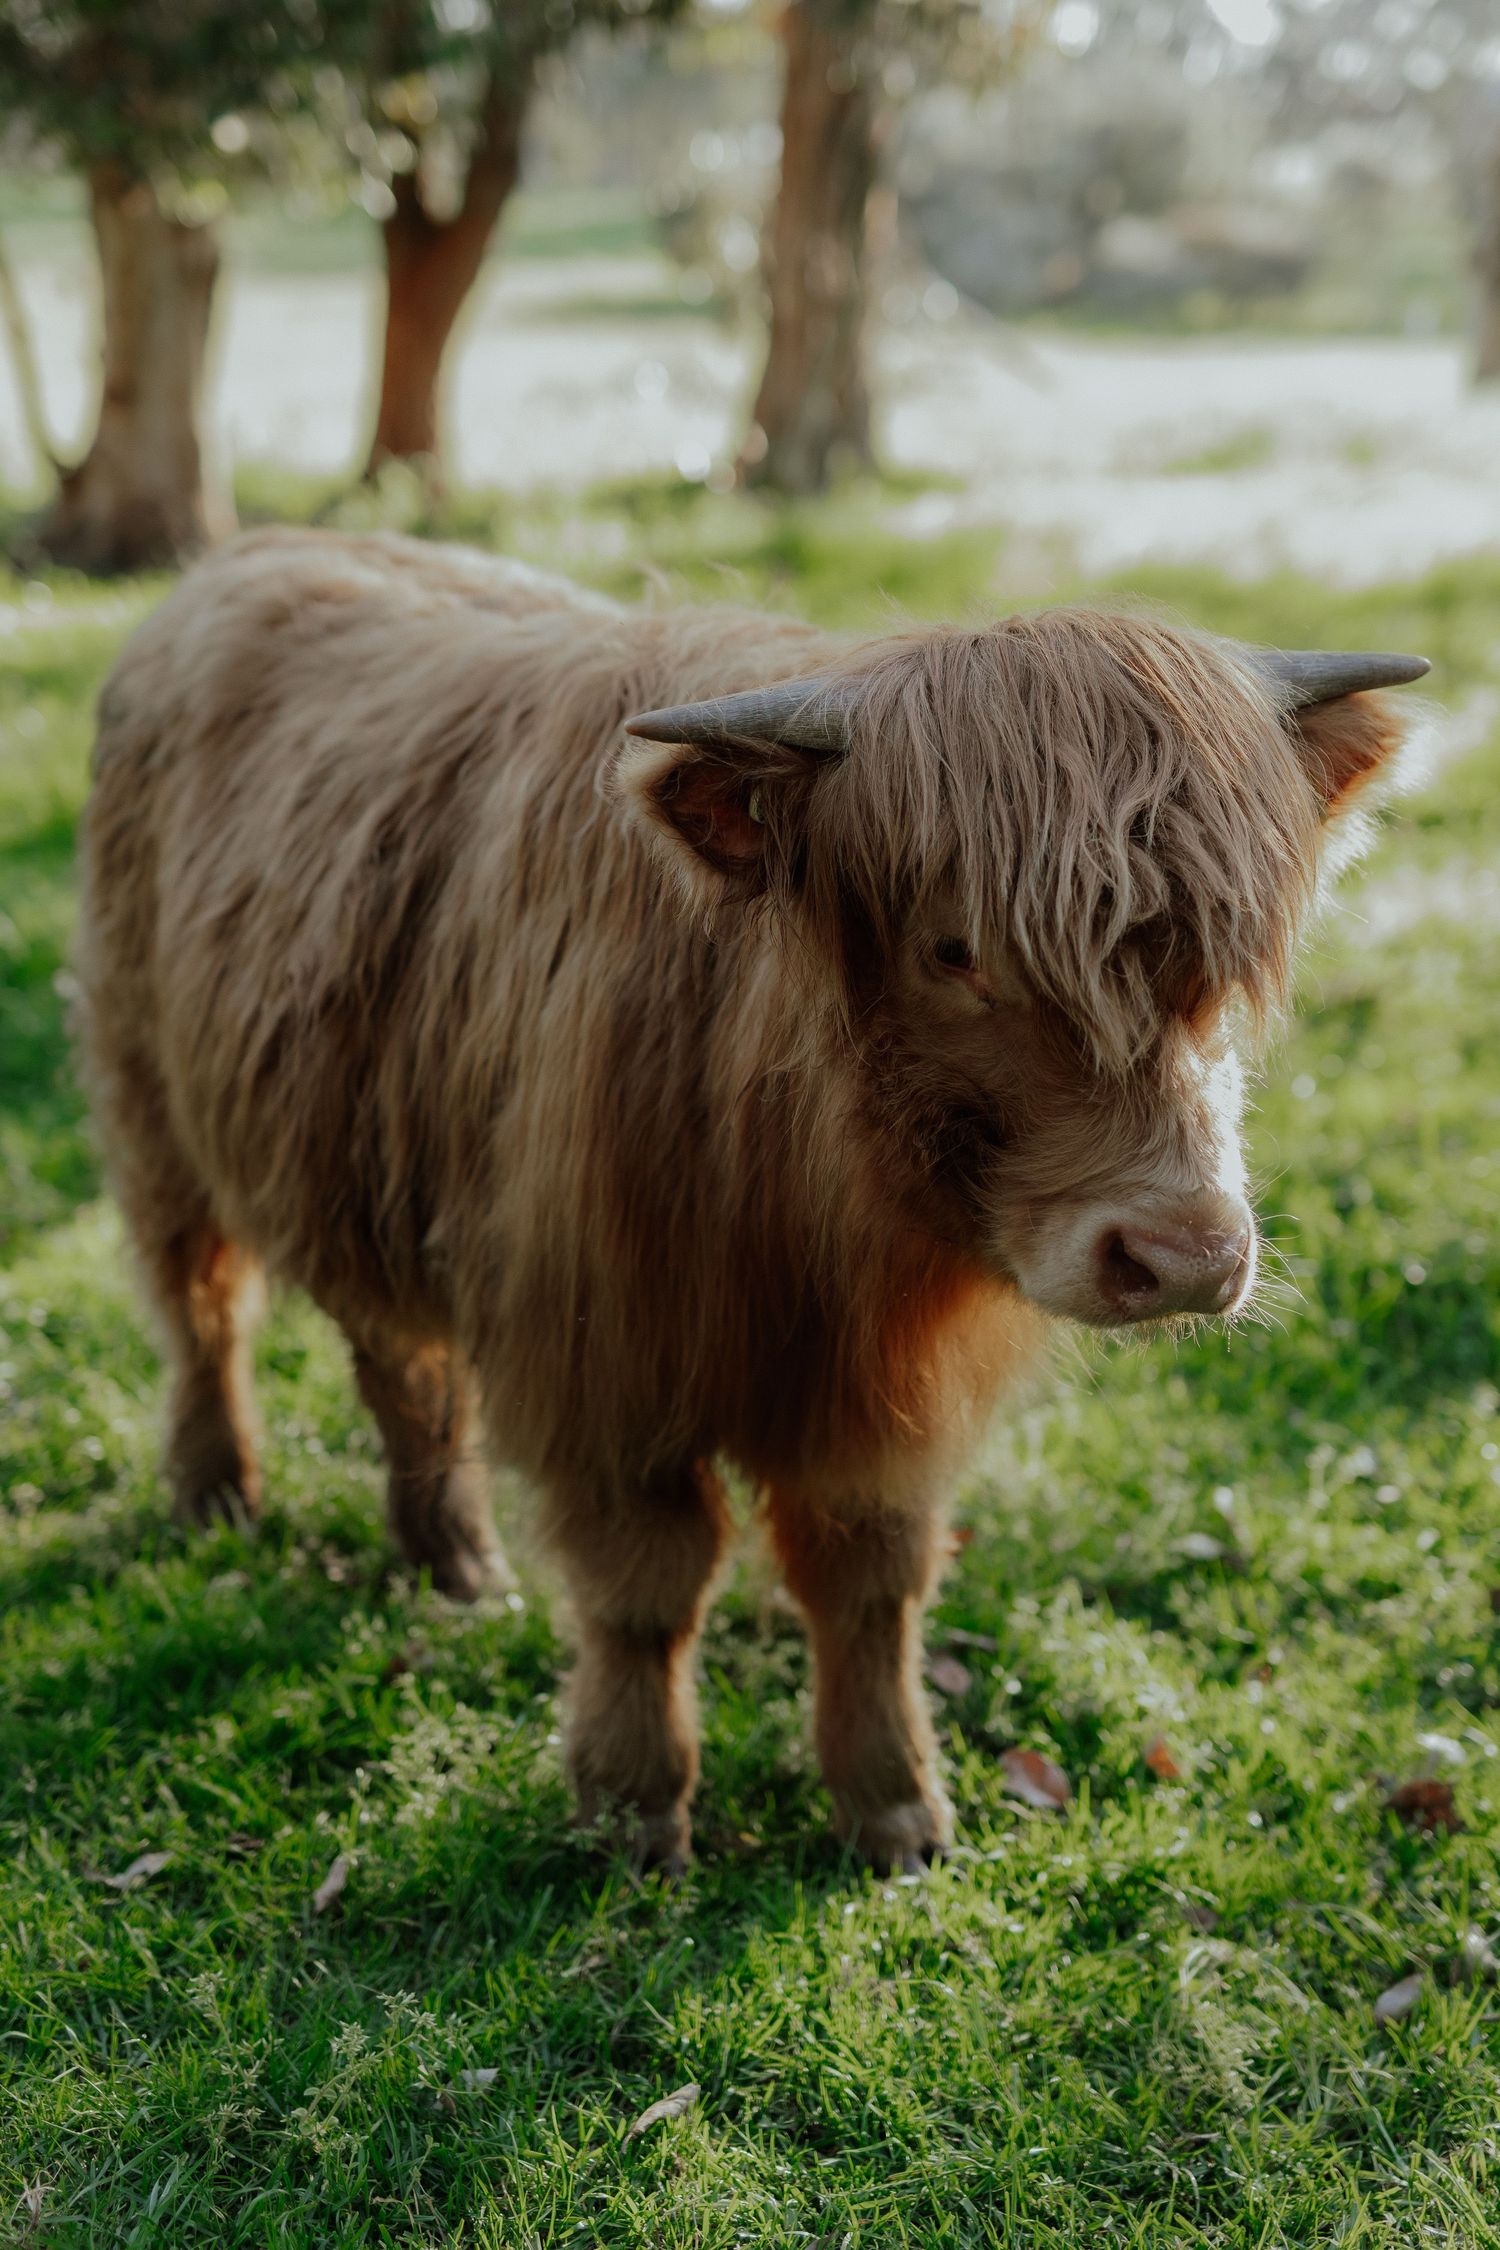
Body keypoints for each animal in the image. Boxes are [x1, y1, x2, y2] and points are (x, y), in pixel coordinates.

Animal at [75, 527, 1426, 1870]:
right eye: (955, 951)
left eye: (1230, 952)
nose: (1185, 1255)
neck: (814, 1205)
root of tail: (246, 553)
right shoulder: (604, 1362)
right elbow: (646, 1589)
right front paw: (631, 1811)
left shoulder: (878, 1408)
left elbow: (872, 1584)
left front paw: (896, 1812)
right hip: (152, 1114)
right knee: (204, 1308)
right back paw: (219, 1497)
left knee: (399, 1358)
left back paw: (454, 1559)